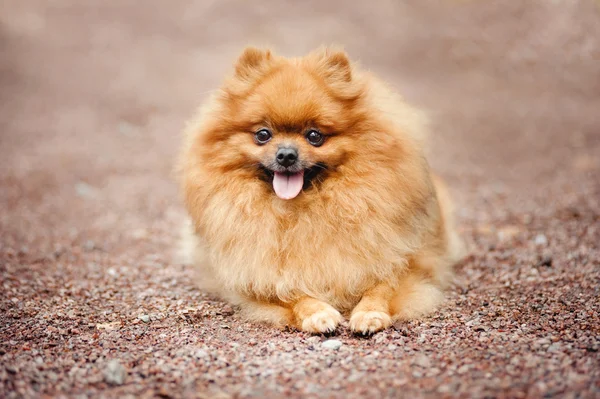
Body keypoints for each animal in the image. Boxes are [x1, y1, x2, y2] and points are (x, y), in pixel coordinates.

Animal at [178, 47, 464, 334]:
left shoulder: (407, 259)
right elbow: (288, 290)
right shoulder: (255, 274)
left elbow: (383, 284)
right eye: (263, 134)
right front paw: (317, 312)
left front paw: (369, 312)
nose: (286, 154)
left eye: (314, 136)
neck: (306, 209)